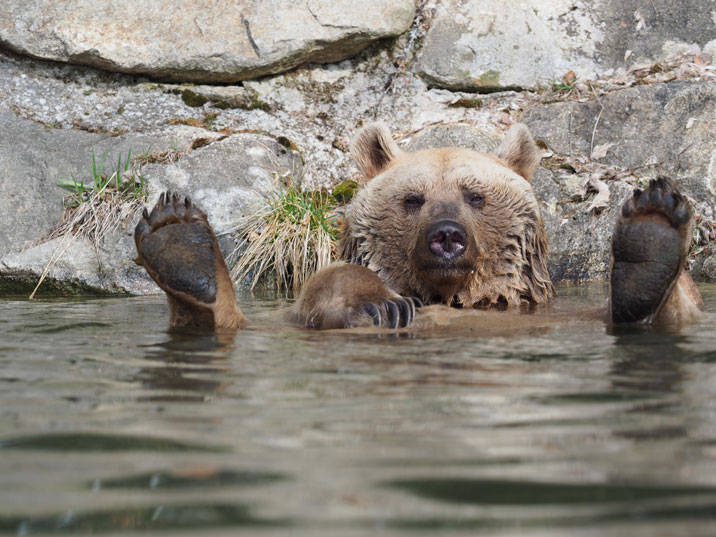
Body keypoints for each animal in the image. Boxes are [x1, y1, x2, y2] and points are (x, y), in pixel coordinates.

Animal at [133, 123, 703, 332]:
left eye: (475, 195)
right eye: (413, 199)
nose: (446, 236)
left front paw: (653, 230)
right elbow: (329, 283)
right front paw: (379, 305)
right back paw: (179, 243)